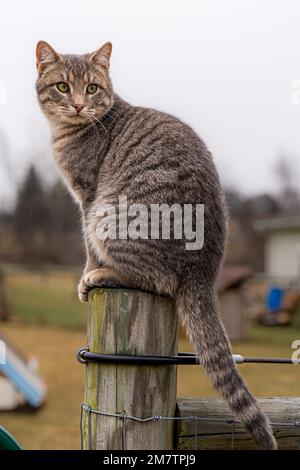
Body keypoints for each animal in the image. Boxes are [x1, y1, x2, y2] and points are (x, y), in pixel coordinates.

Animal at [34, 40, 276, 448]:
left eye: (92, 88)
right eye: (63, 87)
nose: (80, 104)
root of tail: (204, 272)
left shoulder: (88, 198)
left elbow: (87, 247)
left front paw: (86, 274)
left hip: (110, 216)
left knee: (155, 281)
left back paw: (103, 275)